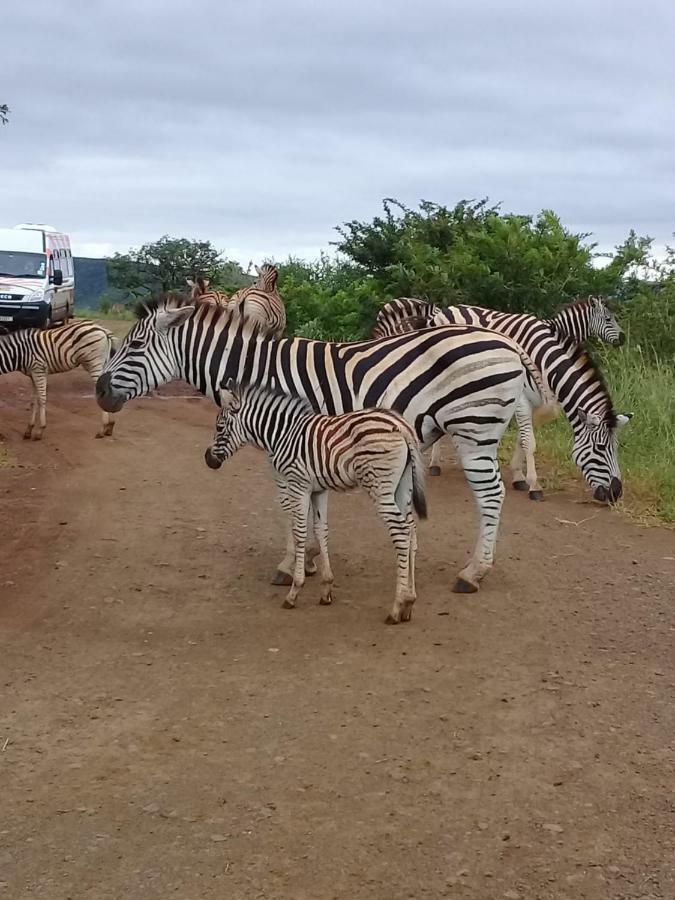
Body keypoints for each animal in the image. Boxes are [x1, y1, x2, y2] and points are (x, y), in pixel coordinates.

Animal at [96, 296, 556, 596]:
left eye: (135, 346)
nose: (99, 392)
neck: (258, 375)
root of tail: (508, 342)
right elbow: (310, 512)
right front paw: (313, 559)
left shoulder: (285, 443)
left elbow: (289, 508)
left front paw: (291, 565)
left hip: (474, 430)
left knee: (492, 497)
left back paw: (473, 572)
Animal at [205, 376, 428, 624]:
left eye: (219, 427)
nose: (207, 460)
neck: (282, 434)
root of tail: (402, 425)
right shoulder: (318, 490)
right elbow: (321, 530)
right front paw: (326, 588)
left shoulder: (298, 484)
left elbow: (300, 531)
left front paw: (294, 591)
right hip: (403, 486)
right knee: (411, 531)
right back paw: (410, 602)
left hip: (380, 488)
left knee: (401, 532)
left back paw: (397, 606)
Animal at [372, 298, 624, 500]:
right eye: (601, 448)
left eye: (616, 448)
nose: (616, 493)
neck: (544, 358)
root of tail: (443, 310)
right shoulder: (521, 398)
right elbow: (529, 442)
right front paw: (535, 485)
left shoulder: (537, 402)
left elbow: (522, 440)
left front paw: (518, 476)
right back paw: (434, 464)